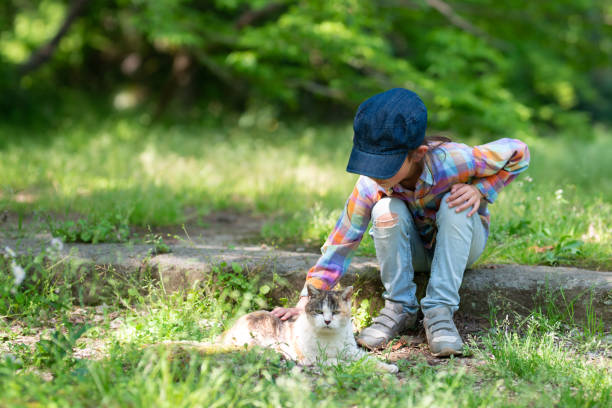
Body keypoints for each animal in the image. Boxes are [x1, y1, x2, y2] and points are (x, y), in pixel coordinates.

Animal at [222, 284, 400, 372]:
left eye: (335, 312)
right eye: (319, 312)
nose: (327, 321)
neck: (330, 337)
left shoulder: (351, 351)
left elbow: (367, 359)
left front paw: (387, 366)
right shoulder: (317, 358)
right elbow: (347, 363)